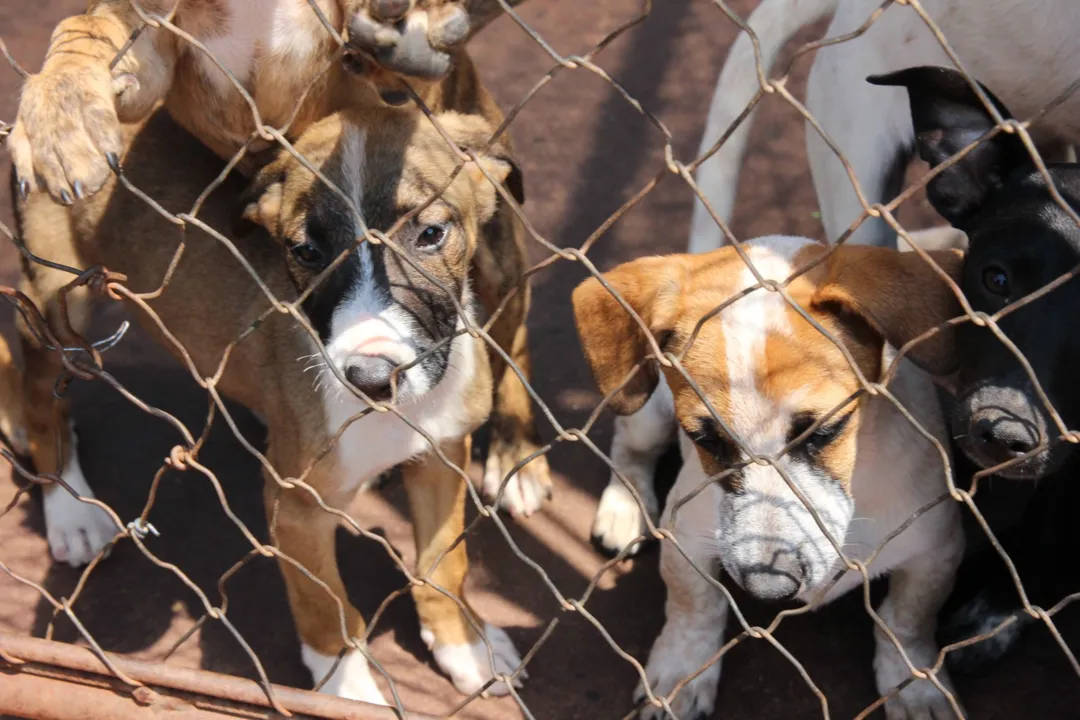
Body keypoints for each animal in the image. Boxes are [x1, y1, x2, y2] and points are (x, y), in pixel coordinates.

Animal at [6, 0, 548, 574]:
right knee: (42, 393)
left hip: (498, 260)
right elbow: (84, 29)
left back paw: (518, 456)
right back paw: (70, 510)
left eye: (430, 235)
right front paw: (60, 113)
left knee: (515, 337)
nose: (371, 376)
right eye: (306, 253)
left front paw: (410, 30)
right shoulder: (149, 48)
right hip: (56, 300)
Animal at [574, 235, 972, 716]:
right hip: (646, 416)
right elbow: (693, 607)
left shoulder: (937, 548)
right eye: (705, 439)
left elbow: (908, 620)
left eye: (825, 431)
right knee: (627, 446)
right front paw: (682, 671)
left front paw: (915, 686)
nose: (768, 589)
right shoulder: (685, 536)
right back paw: (624, 509)